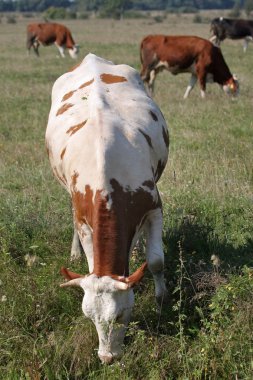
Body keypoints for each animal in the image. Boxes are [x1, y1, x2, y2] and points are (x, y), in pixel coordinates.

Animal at [45, 52, 169, 362]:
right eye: (89, 318)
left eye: (121, 315)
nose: (107, 357)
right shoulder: (84, 215)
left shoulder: (154, 207)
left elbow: (156, 261)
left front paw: (161, 300)